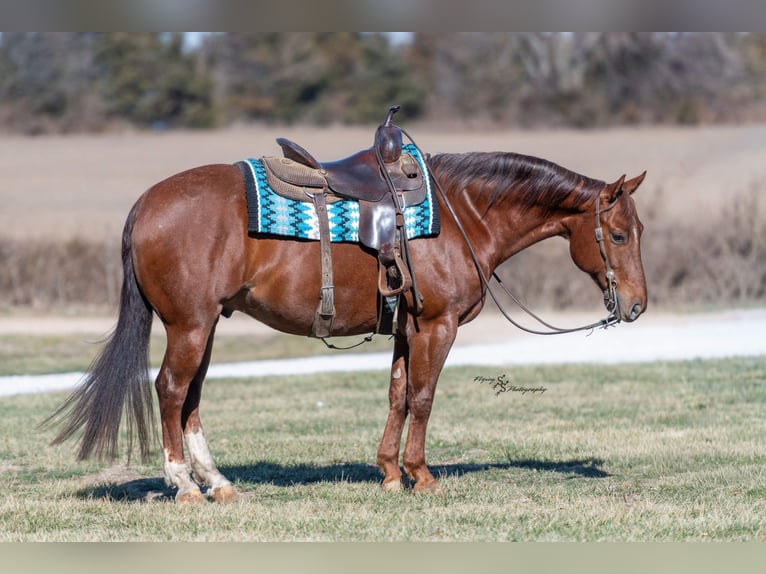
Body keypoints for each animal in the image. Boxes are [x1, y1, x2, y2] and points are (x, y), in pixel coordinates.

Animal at [47, 144, 647, 503]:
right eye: (618, 235)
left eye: (636, 232)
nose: (638, 305)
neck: (463, 215)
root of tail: (146, 204)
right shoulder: (438, 325)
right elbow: (424, 396)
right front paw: (421, 475)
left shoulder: (407, 329)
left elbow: (398, 394)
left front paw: (389, 473)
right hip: (190, 325)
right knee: (171, 390)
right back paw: (184, 485)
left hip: (205, 326)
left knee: (190, 394)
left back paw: (217, 482)